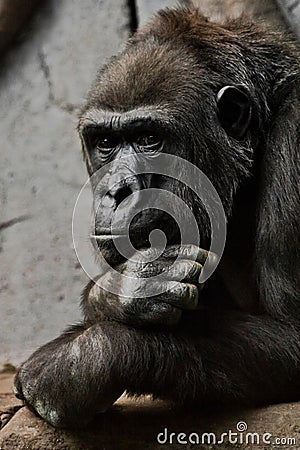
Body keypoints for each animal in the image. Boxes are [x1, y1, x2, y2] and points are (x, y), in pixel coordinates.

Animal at [14, 7, 300, 428]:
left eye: (150, 139)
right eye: (105, 143)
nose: (117, 190)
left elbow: (291, 336)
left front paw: (82, 361)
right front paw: (123, 290)